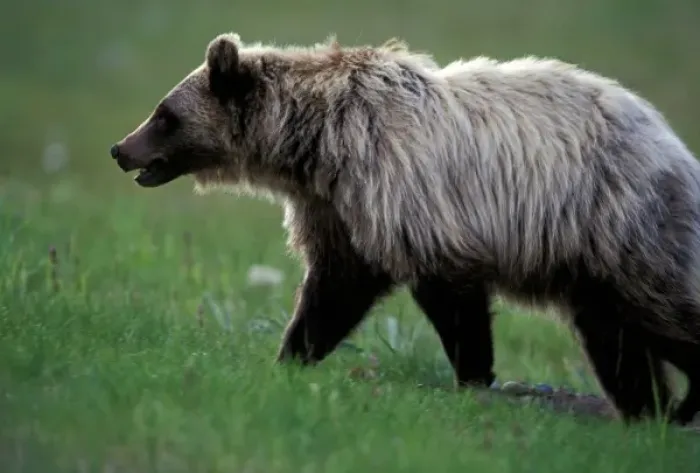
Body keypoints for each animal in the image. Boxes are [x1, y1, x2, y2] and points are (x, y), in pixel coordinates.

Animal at [110, 31, 700, 425]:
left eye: (164, 114)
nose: (120, 149)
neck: (316, 144)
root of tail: (671, 141)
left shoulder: (410, 198)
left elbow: (449, 300)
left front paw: (473, 377)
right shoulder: (336, 210)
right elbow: (332, 293)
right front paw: (289, 358)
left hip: (621, 226)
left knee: (663, 311)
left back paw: (678, 405)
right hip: (591, 266)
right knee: (614, 338)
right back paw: (649, 410)